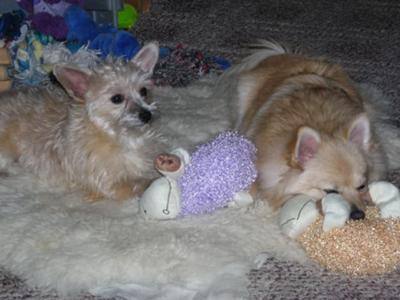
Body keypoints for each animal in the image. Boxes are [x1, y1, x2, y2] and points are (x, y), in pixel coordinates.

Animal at [0, 42, 168, 202]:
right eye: (117, 98)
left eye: (143, 91)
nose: (146, 115)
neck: (119, 136)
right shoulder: (109, 182)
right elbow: (140, 183)